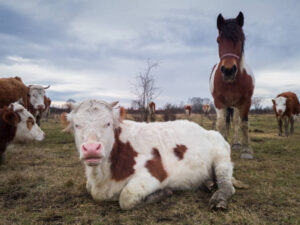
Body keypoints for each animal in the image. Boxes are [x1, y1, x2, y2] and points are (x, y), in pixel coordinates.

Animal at [64, 99, 236, 210]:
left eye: (108, 123)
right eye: (76, 125)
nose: (92, 148)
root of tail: (207, 131)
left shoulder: (155, 173)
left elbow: (126, 197)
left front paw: (163, 193)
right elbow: (88, 187)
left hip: (222, 159)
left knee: (228, 187)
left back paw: (219, 199)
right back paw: (208, 184)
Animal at [209, 12, 255, 159]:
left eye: (240, 40)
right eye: (218, 40)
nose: (228, 70)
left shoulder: (246, 102)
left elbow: (244, 124)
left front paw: (246, 150)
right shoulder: (218, 102)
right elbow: (221, 124)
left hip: (235, 106)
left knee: (235, 122)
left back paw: (236, 143)